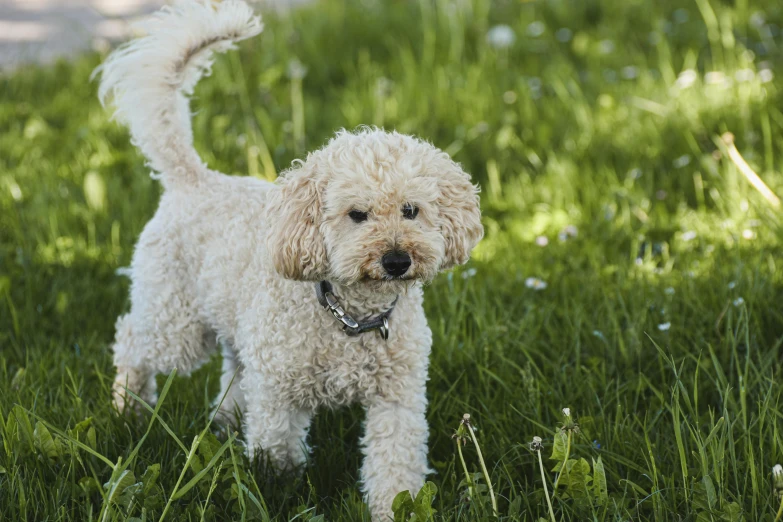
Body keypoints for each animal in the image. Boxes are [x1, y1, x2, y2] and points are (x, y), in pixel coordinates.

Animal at [95, 0, 480, 516]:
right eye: (357, 214)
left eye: (411, 210)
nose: (397, 260)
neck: (349, 318)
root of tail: (194, 178)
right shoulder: (279, 394)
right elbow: (276, 455)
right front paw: (276, 494)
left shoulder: (397, 396)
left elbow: (394, 464)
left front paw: (394, 508)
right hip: (176, 323)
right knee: (132, 341)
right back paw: (129, 409)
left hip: (235, 332)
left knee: (232, 375)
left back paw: (221, 426)